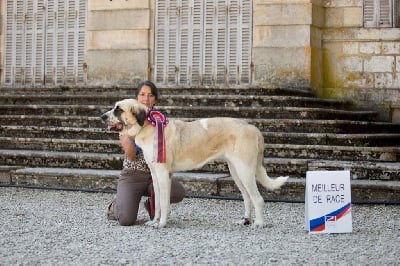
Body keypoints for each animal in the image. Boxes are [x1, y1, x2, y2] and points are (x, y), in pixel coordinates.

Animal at [100, 98, 288, 228]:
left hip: (245, 170)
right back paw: (245, 220)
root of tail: (253, 128)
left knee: (258, 199)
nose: (101, 117)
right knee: (247, 197)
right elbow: (158, 200)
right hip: (236, 171)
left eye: (118, 109)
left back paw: (259, 224)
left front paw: (161, 224)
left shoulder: (162, 173)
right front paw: (154, 221)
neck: (149, 126)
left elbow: (164, 201)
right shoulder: (155, 174)